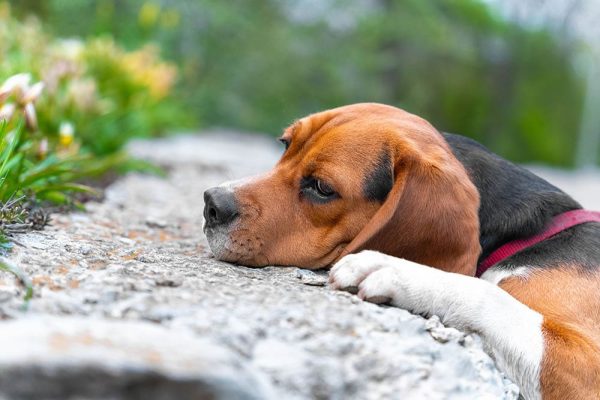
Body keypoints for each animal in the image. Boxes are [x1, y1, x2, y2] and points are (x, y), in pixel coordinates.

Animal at [203, 104, 600, 400]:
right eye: (285, 145)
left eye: (321, 188)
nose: (211, 205)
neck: (531, 234)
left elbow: (487, 293)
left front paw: (394, 269)